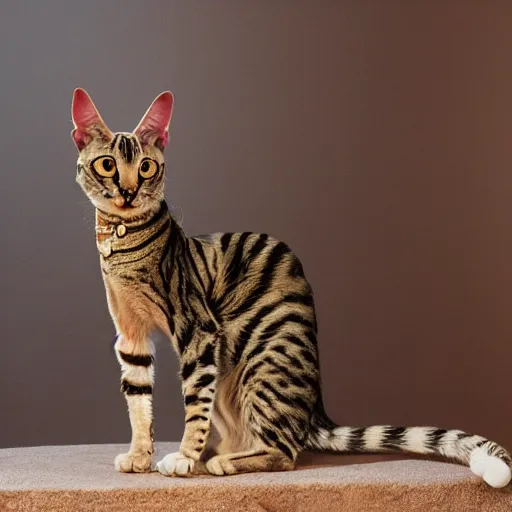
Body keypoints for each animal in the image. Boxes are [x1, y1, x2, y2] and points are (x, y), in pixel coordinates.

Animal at [71, 88, 512, 488]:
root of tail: (315, 409)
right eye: (108, 165)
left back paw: (219, 461)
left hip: (261, 361)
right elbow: (138, 400)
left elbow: (194, 400)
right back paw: (223, 451)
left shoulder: (199, 330)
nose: (129, 191)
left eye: (146, 168)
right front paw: (140, 455)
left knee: (284, 452)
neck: (121, 243)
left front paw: (182, 457)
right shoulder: (131, 336)